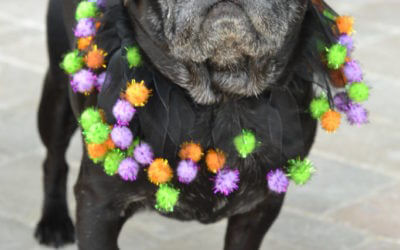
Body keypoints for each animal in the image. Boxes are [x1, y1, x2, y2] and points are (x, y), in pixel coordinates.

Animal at [34, 0, 336, 249]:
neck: (219, 102)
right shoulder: (97, 206)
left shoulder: (259, 208)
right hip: (58, 96)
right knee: (54, 159)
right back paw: (53, 222)